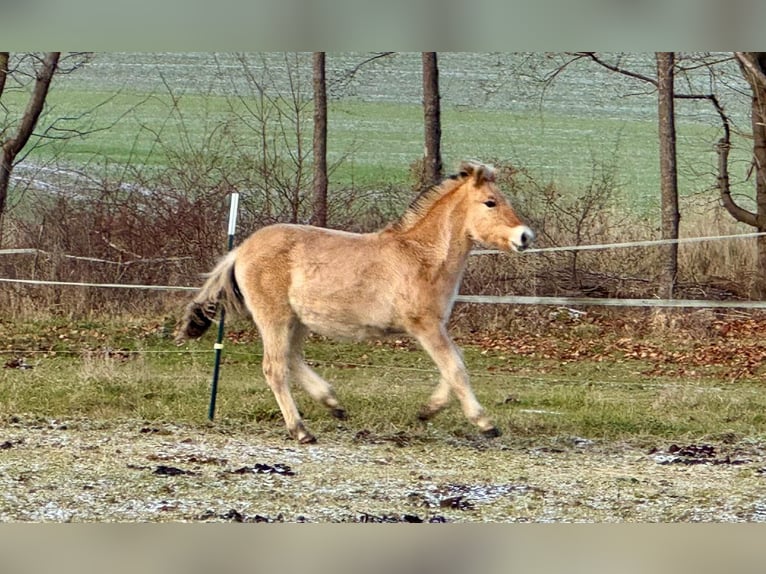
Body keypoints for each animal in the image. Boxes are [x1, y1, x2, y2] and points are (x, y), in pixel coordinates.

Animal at [176, 161, 534, 443]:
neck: (422, 257)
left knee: (291, 358)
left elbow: (454, 365)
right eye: (490, 202)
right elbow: (456, 369)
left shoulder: (436, 326)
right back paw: (301, 430)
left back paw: (333, 404)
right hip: (274, 318)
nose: (525, 237)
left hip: (298, 320)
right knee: (274, 368)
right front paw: (485, 424)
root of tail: (241, 250)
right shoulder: (425, 326)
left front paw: (427, 411)